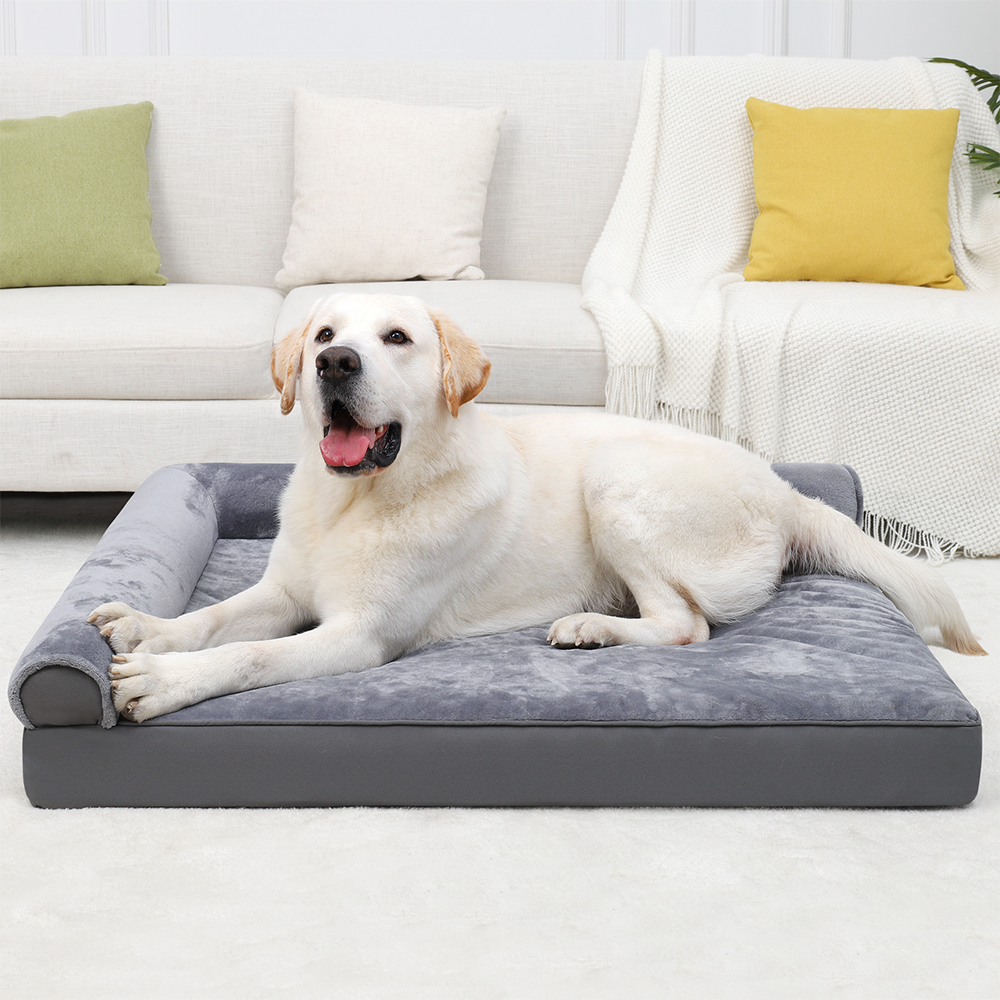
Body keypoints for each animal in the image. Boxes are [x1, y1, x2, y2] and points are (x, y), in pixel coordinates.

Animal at [89, 292, 985, 722]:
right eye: (323, 336)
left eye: (397, 338)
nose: (335, 363)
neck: (360, 501)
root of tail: (783, 487)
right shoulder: (282, 591)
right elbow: (217, 618)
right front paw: (147, 629)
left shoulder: (359, 637)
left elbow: (248, 656)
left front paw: (161, 680)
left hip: (616, 478)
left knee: (686, 625)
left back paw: (590, 626)